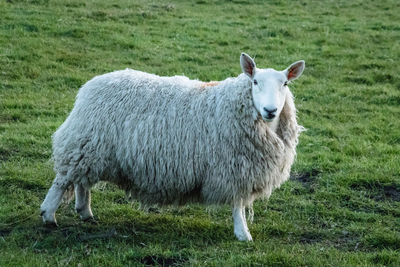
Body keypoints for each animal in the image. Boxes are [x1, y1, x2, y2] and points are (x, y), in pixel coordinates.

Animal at [40, 53, 304, 242]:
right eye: (255, 82)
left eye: (285, 83)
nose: (270, 110)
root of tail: (90, 86)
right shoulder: (234, 169)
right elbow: (238, 205)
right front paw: (243, 233)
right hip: (83, 142)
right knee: (62, 180)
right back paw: (48, 215)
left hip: (92, 150)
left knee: (81, 182)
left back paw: (85, 212)